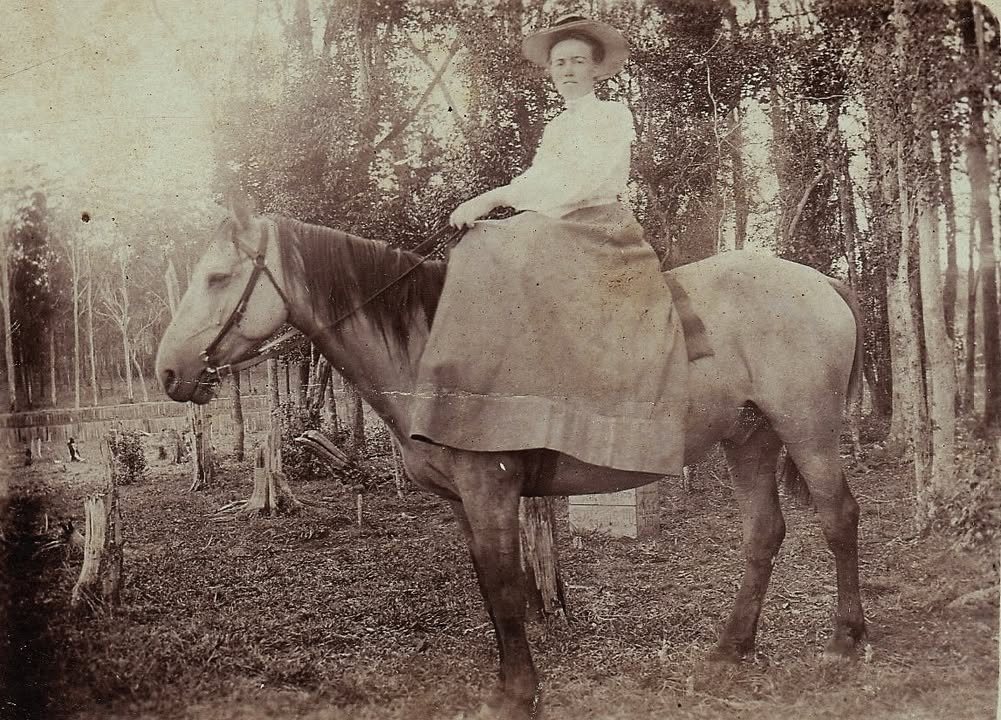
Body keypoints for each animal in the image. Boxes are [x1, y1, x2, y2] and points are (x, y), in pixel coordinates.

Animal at [155, 199, 867, 720]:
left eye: (217, 277)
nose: (168, 371)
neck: (430, 344)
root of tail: (824, 283)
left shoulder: (490, 490)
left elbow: (503, 588)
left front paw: (517, 694)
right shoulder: (466, 504)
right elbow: (494, 585)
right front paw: (509, 683)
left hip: (807, 429)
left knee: (839, 518)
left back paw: (845, 641)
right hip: (750, 439)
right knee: (764, 533)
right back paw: (731, 648)